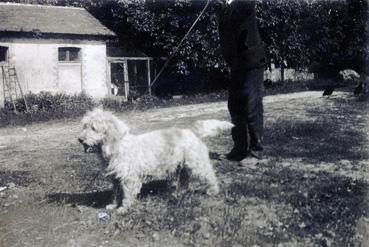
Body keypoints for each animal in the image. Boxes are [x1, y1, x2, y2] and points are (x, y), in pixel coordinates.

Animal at [77, 108, 221, 214]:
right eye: (85, 126)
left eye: (93, 128)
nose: (80, 139)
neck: (116, 146)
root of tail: (191, 132)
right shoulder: (116, 178)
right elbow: (116, 193)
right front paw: (113, 206)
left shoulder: (129, 179)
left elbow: (127, 195)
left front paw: (123, 209)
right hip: (182, 166)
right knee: (185, 179)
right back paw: (179, 193)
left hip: (196, 163)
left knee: (209, 175)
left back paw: (213, 191)